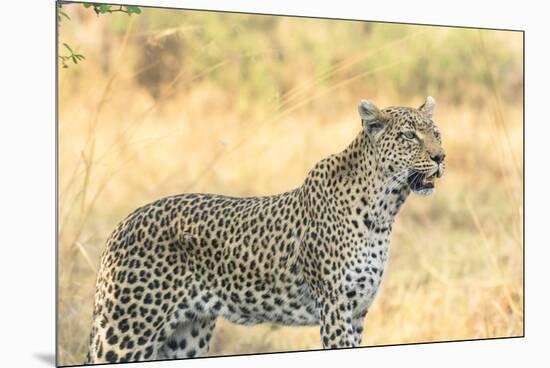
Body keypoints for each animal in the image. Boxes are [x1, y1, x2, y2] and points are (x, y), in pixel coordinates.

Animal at [87, 96, 448, 364]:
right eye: (409, 136)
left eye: (436, 133)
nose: (441, 157)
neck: (384, 208)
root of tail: (122, 224)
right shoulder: (335, 308)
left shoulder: (358, 311)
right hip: (127, 329)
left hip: (185, 334)